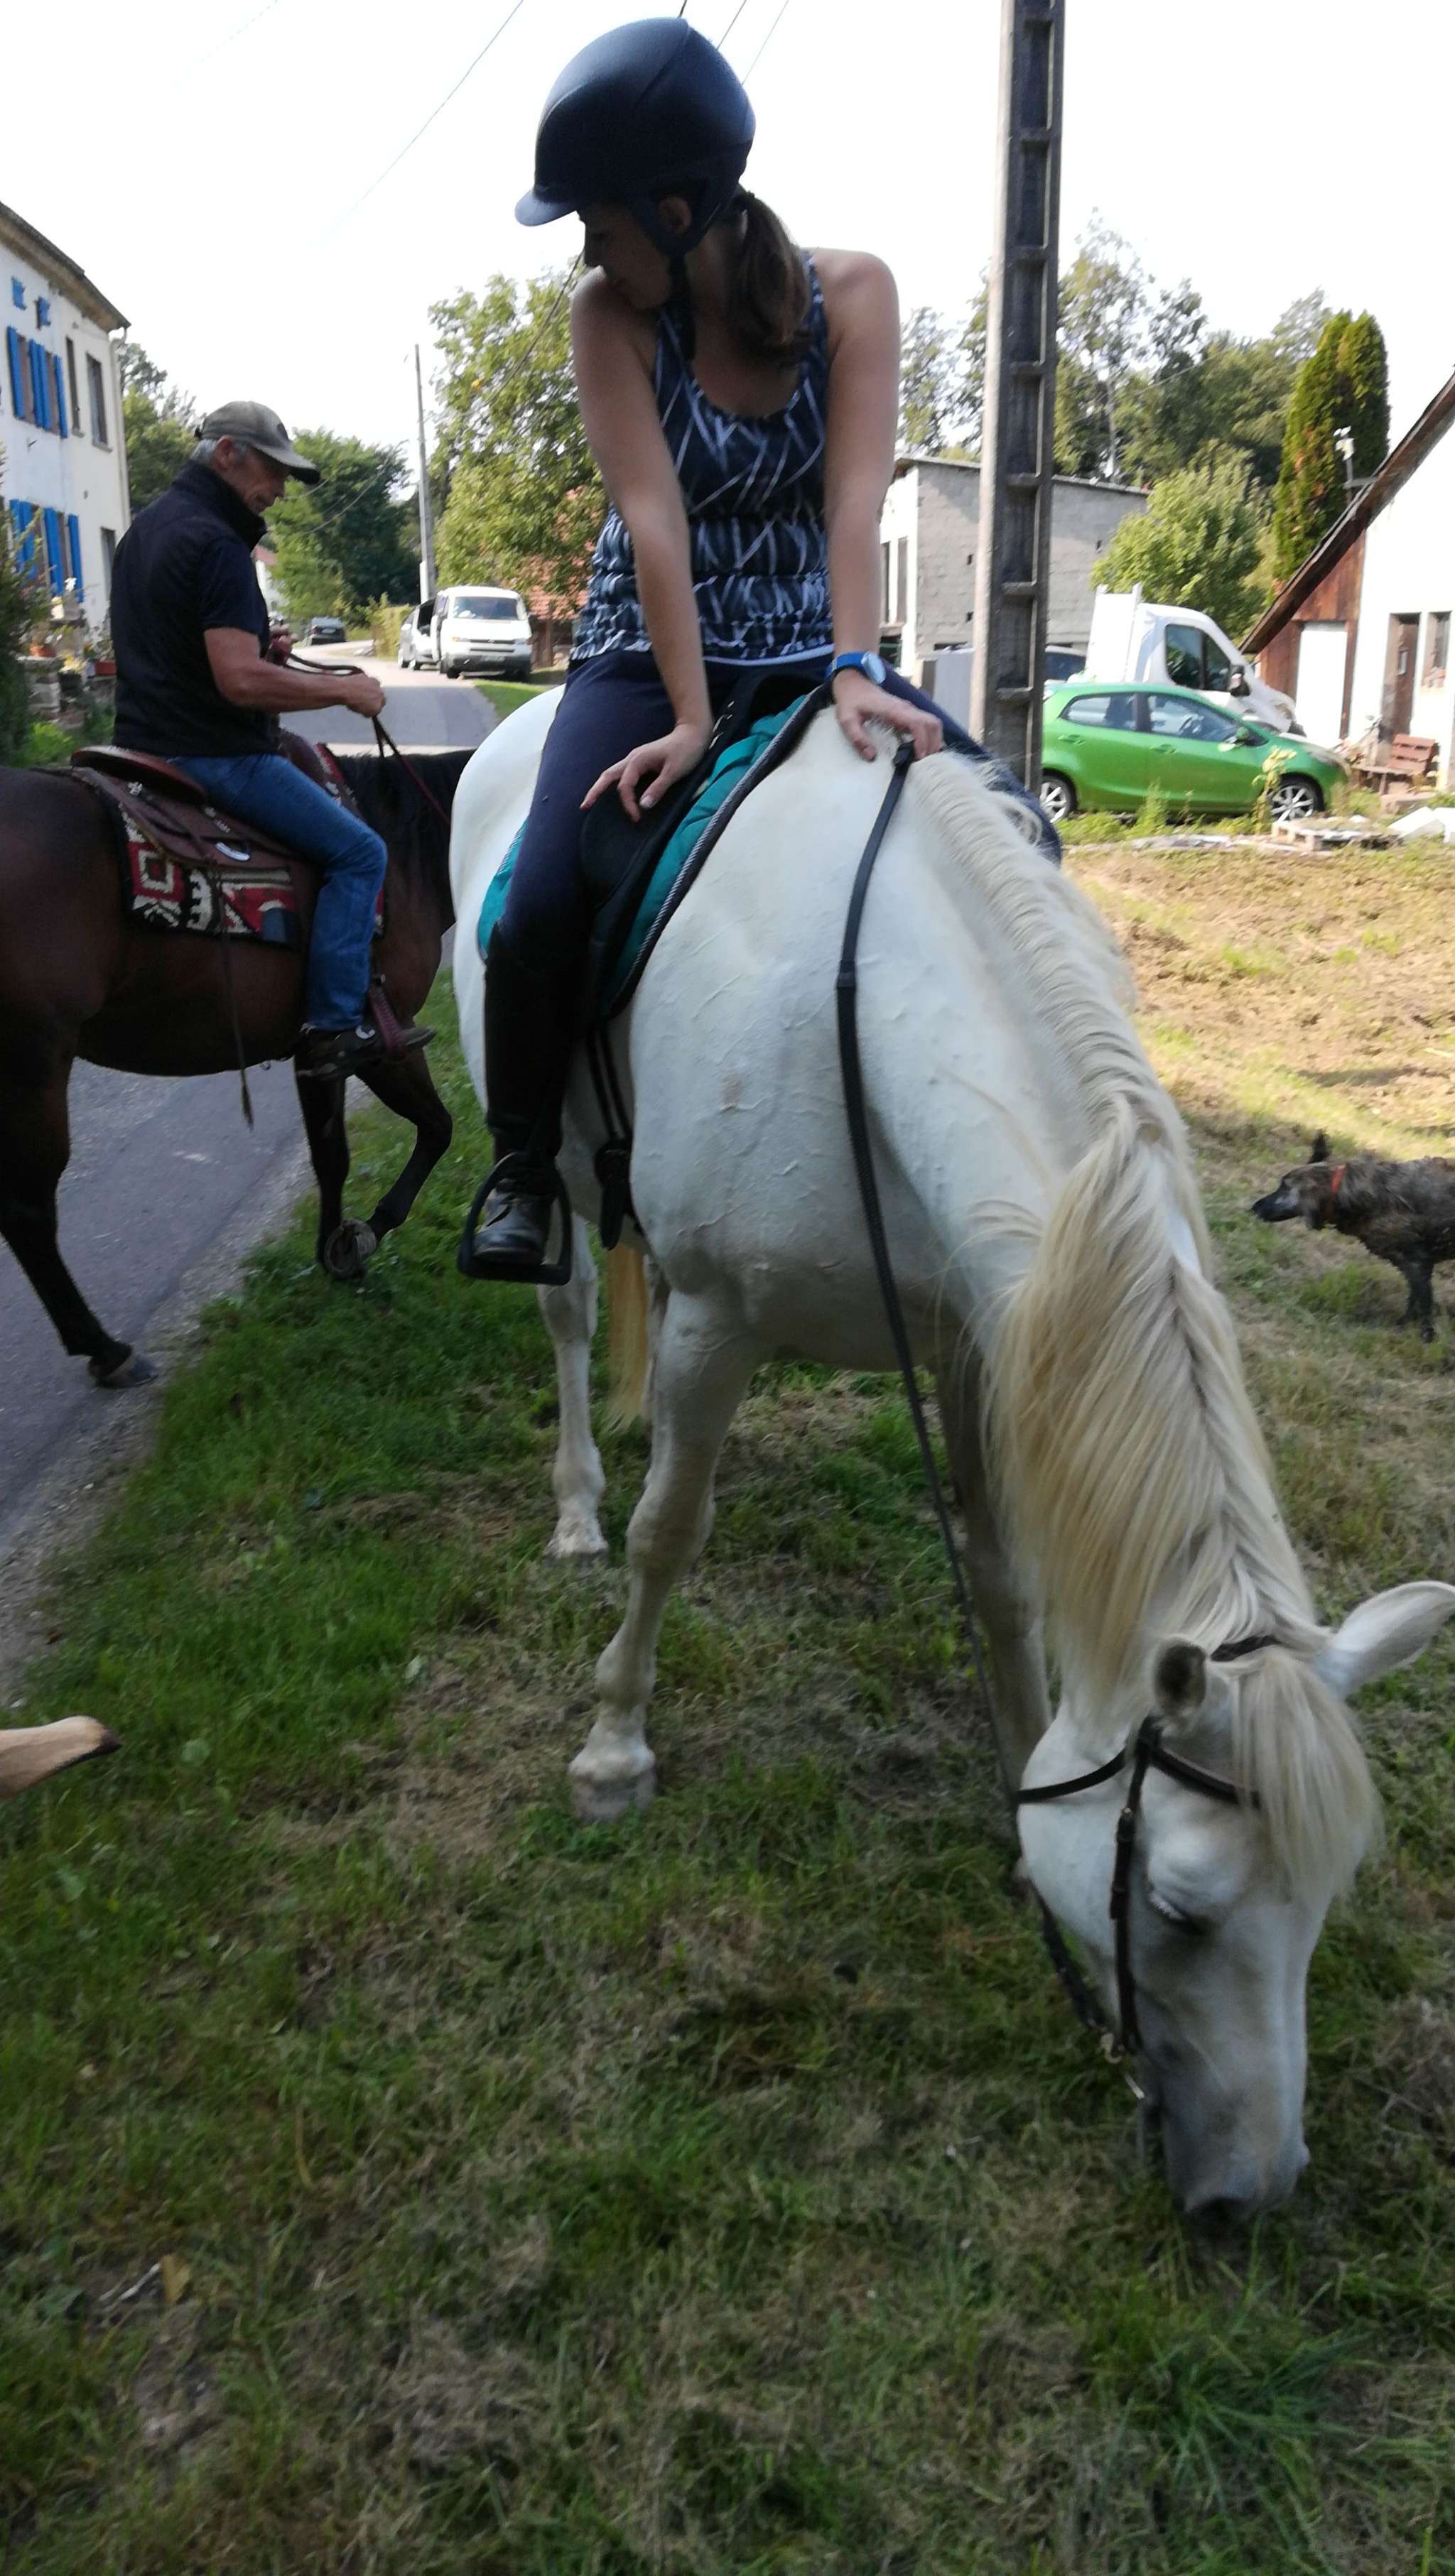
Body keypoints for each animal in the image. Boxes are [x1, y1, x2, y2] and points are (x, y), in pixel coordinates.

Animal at [0, 743, 472, 1387]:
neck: (406, 852)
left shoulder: (317, 1053)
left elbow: (332, 1156)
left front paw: (334, 1251)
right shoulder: (388, 1036)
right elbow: (437, 1127)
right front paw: (364, 1235)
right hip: (34, 1064)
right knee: (28, 1213)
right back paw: (107, 1349)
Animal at [1251, 1131, 1455, 1340]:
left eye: (1285, 1187)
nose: (1254, 1207)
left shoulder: (1418, 1263)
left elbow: (1423, 1307)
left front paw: (1425, 1337)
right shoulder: (1418, 1266)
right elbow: (1415, 1303)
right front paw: (1403, 1327)